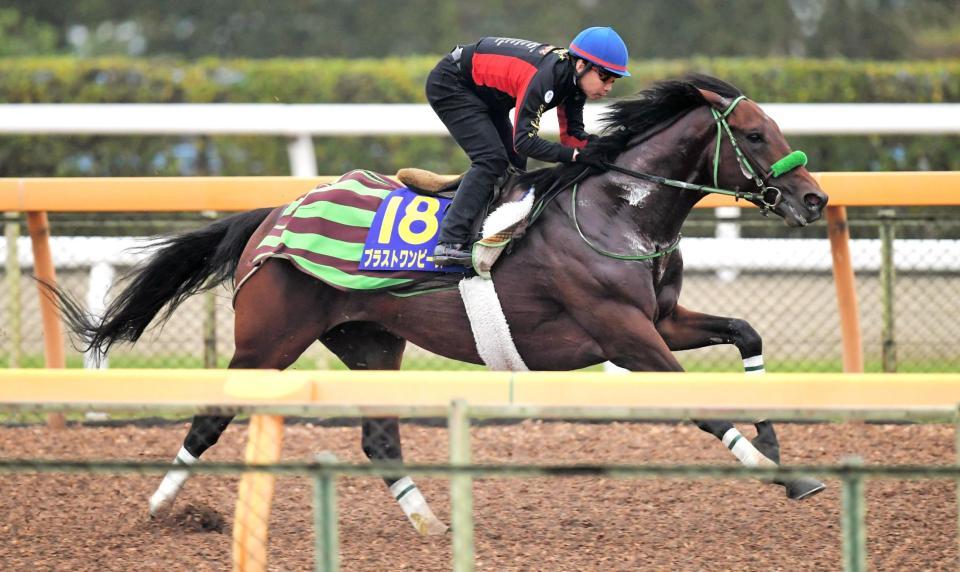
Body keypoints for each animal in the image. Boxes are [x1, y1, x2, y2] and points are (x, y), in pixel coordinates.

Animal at [49, 74, 829, 535]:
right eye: (755, 134)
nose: (815, 198)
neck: (619, 208)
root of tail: (274, 213)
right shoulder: (624, 334)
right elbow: (702, 405)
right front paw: (782, 473)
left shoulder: (661, 320)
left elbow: (747, 332)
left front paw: (776, 442)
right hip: (268, 342)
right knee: (211, 417)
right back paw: (158, 508)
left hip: (369, 341)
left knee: (379, 439)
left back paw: (429, 524)